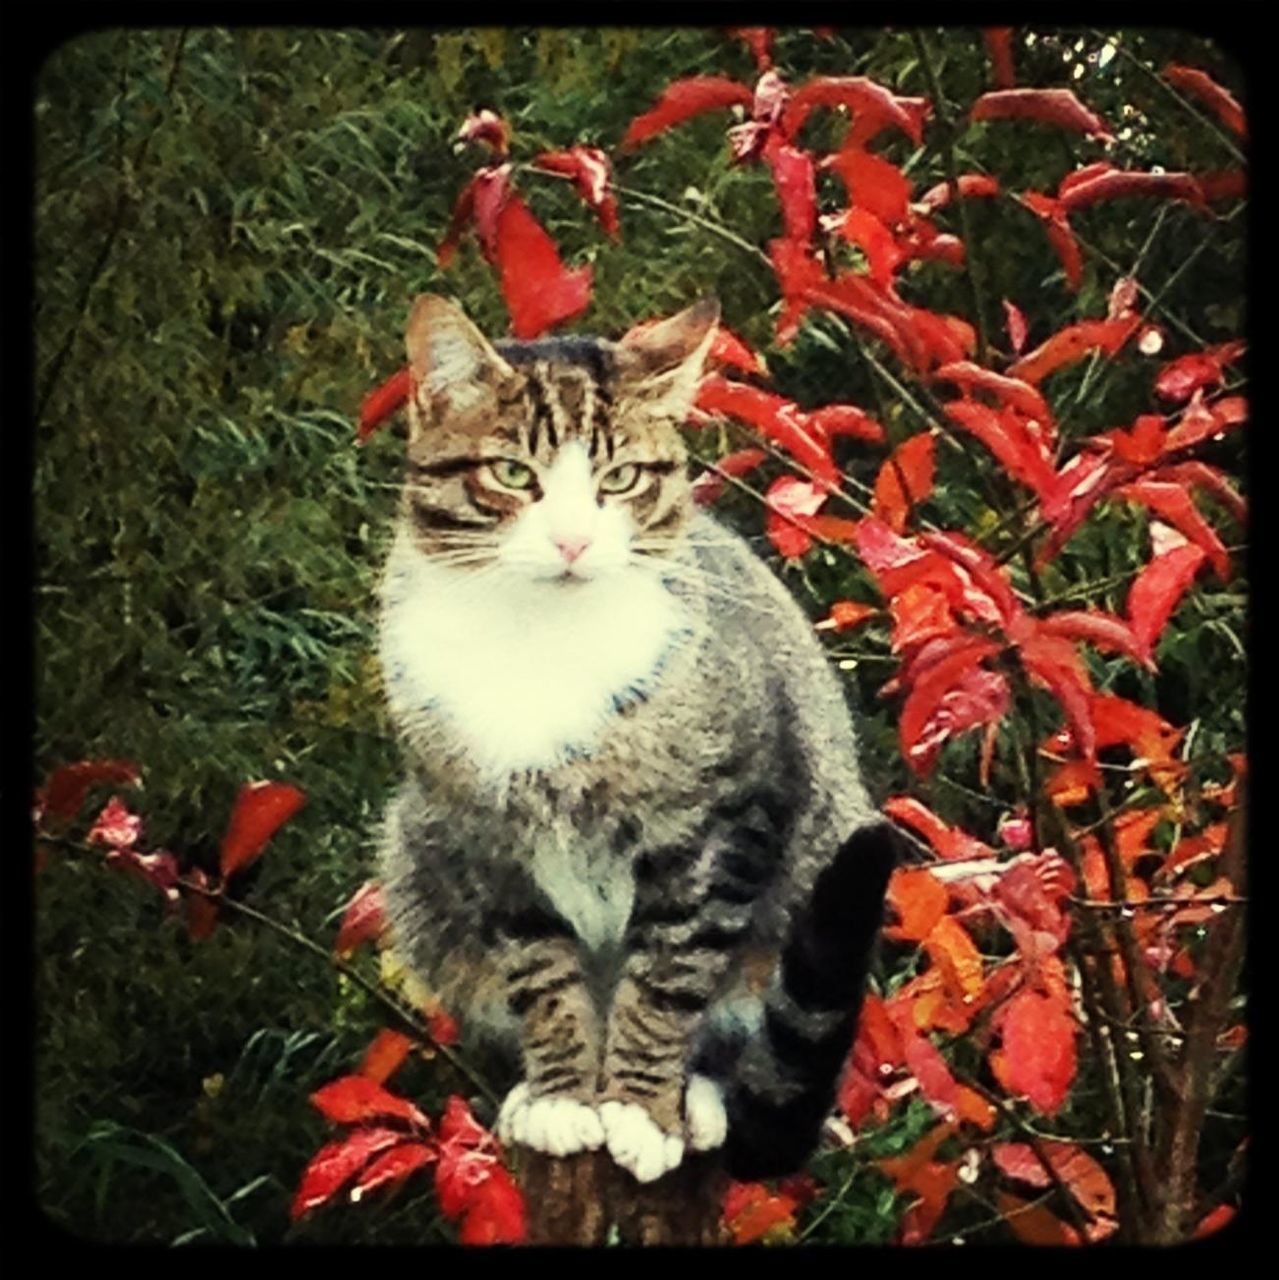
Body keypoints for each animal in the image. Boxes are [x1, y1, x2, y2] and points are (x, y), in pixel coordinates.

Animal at [376, 294, 901, 1182]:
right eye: (512, 474)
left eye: (618, 479)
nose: (572, 542)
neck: (539, 638)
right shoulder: (487, 838)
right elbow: (541, 973)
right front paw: (563, 1096)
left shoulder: (720, 823)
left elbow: (667, 975)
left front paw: (638, 1109)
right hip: (412, 855)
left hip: (815, 859)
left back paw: (698, 1100)